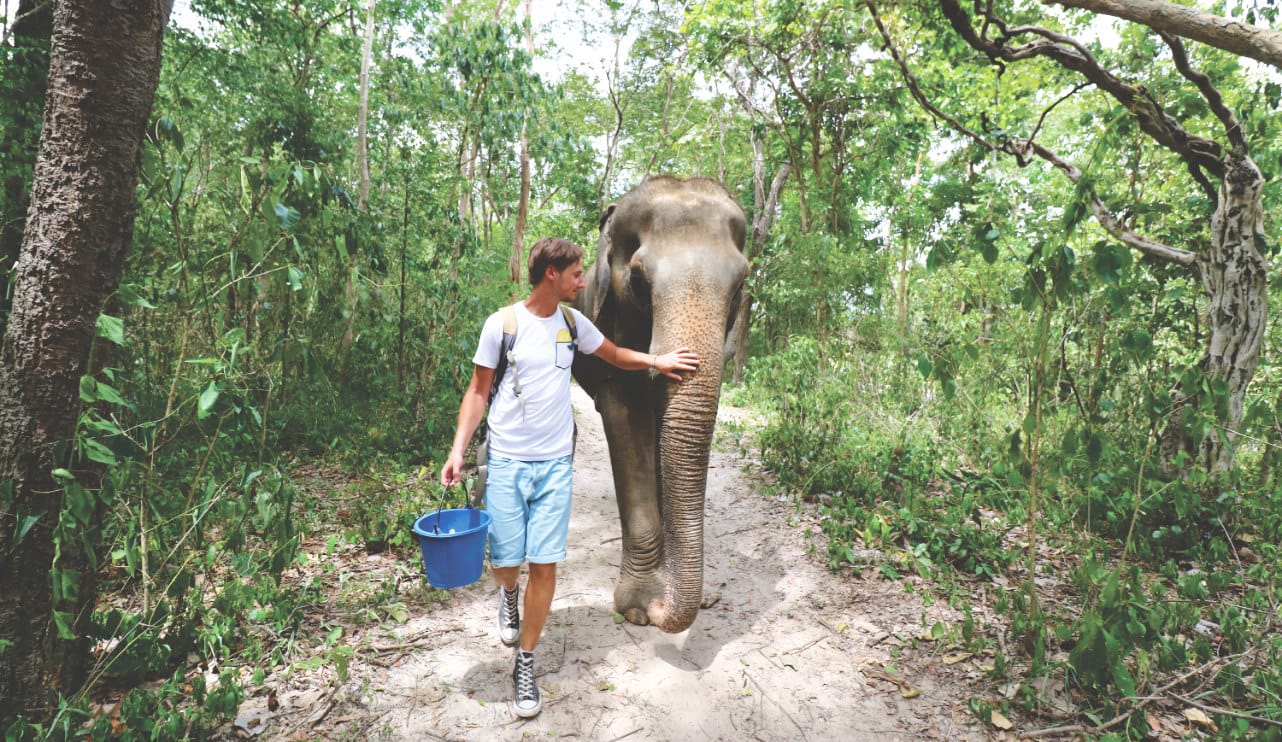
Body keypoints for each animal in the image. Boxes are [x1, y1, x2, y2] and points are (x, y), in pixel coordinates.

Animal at [572, 175, 748, 633]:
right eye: (637, 281)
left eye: (740, 285)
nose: (659, 609)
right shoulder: (609, 334)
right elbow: (626, 419)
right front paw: (638, 609)